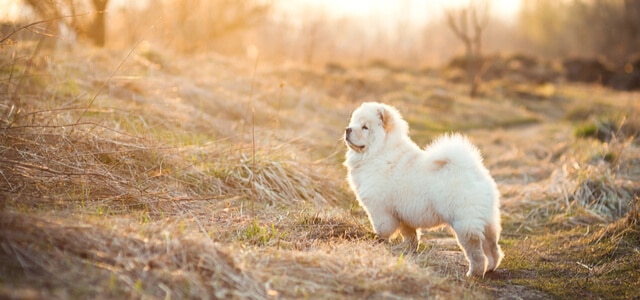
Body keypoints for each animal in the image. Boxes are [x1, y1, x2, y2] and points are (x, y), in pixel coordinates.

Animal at [342, 101, 502, 276]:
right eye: (353, 122)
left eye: (365, 127)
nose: (348, 129)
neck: (379, 153)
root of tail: (474, 172)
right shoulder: (403, 213)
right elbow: (410, 235)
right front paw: (407, 250)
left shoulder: (380, 210)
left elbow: (383, 230)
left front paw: (379, 243)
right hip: (487, 220)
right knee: (492, 246)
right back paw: (491, 267)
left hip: (464, 222)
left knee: (476, 250)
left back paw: (474, 273)